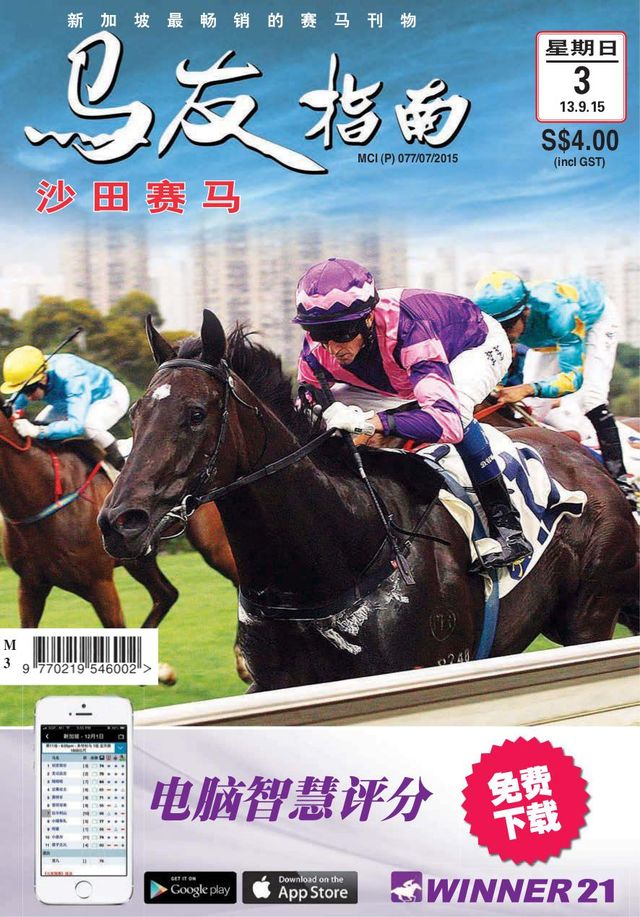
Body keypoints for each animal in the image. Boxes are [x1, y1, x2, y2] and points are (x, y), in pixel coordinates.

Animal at [98, 310, 639, 691]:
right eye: (136, 413)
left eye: (195, 414)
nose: (120, 522)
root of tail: (589, 461)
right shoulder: (274, 684)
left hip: (588, 616)